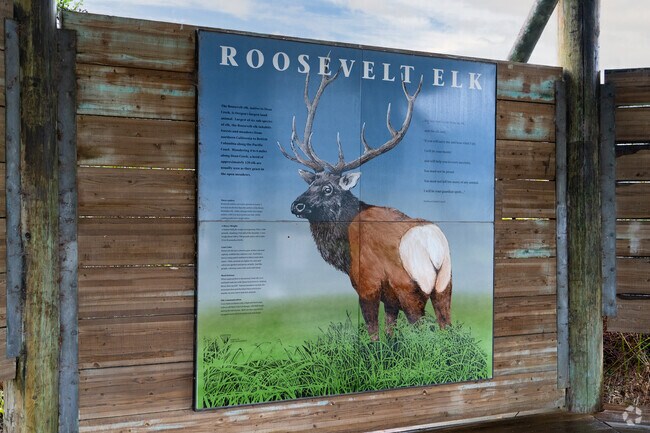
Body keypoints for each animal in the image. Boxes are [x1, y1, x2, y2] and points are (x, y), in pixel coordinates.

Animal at [277, 65, 452, 340]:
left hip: (410, 287)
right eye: (310, 184)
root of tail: (433, 249)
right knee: (447, 326)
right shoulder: (389, 297)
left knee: (421, 329)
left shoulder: (367, 282)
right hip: (445, 285)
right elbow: (390, 331)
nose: (296, 205)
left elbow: (372, 331)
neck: (344, 250)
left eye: (328, 189)